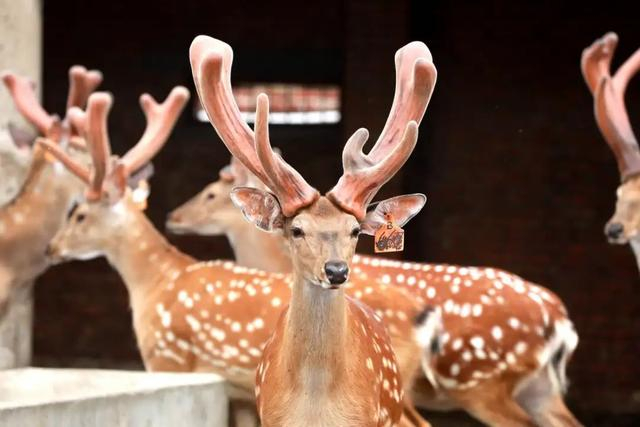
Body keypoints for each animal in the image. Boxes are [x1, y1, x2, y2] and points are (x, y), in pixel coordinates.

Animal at [43, 86, 439, 426]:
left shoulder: (168, 358)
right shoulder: (243, 397)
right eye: (297, 230)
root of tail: (423, 314)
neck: (156, 282)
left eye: (79, 214)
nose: (51, 247)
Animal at [174, 44, 582, 427]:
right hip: (535, 388)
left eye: (356, 230)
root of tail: (558, 316)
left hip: (479, 383)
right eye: (296, 229)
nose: (336, 271)